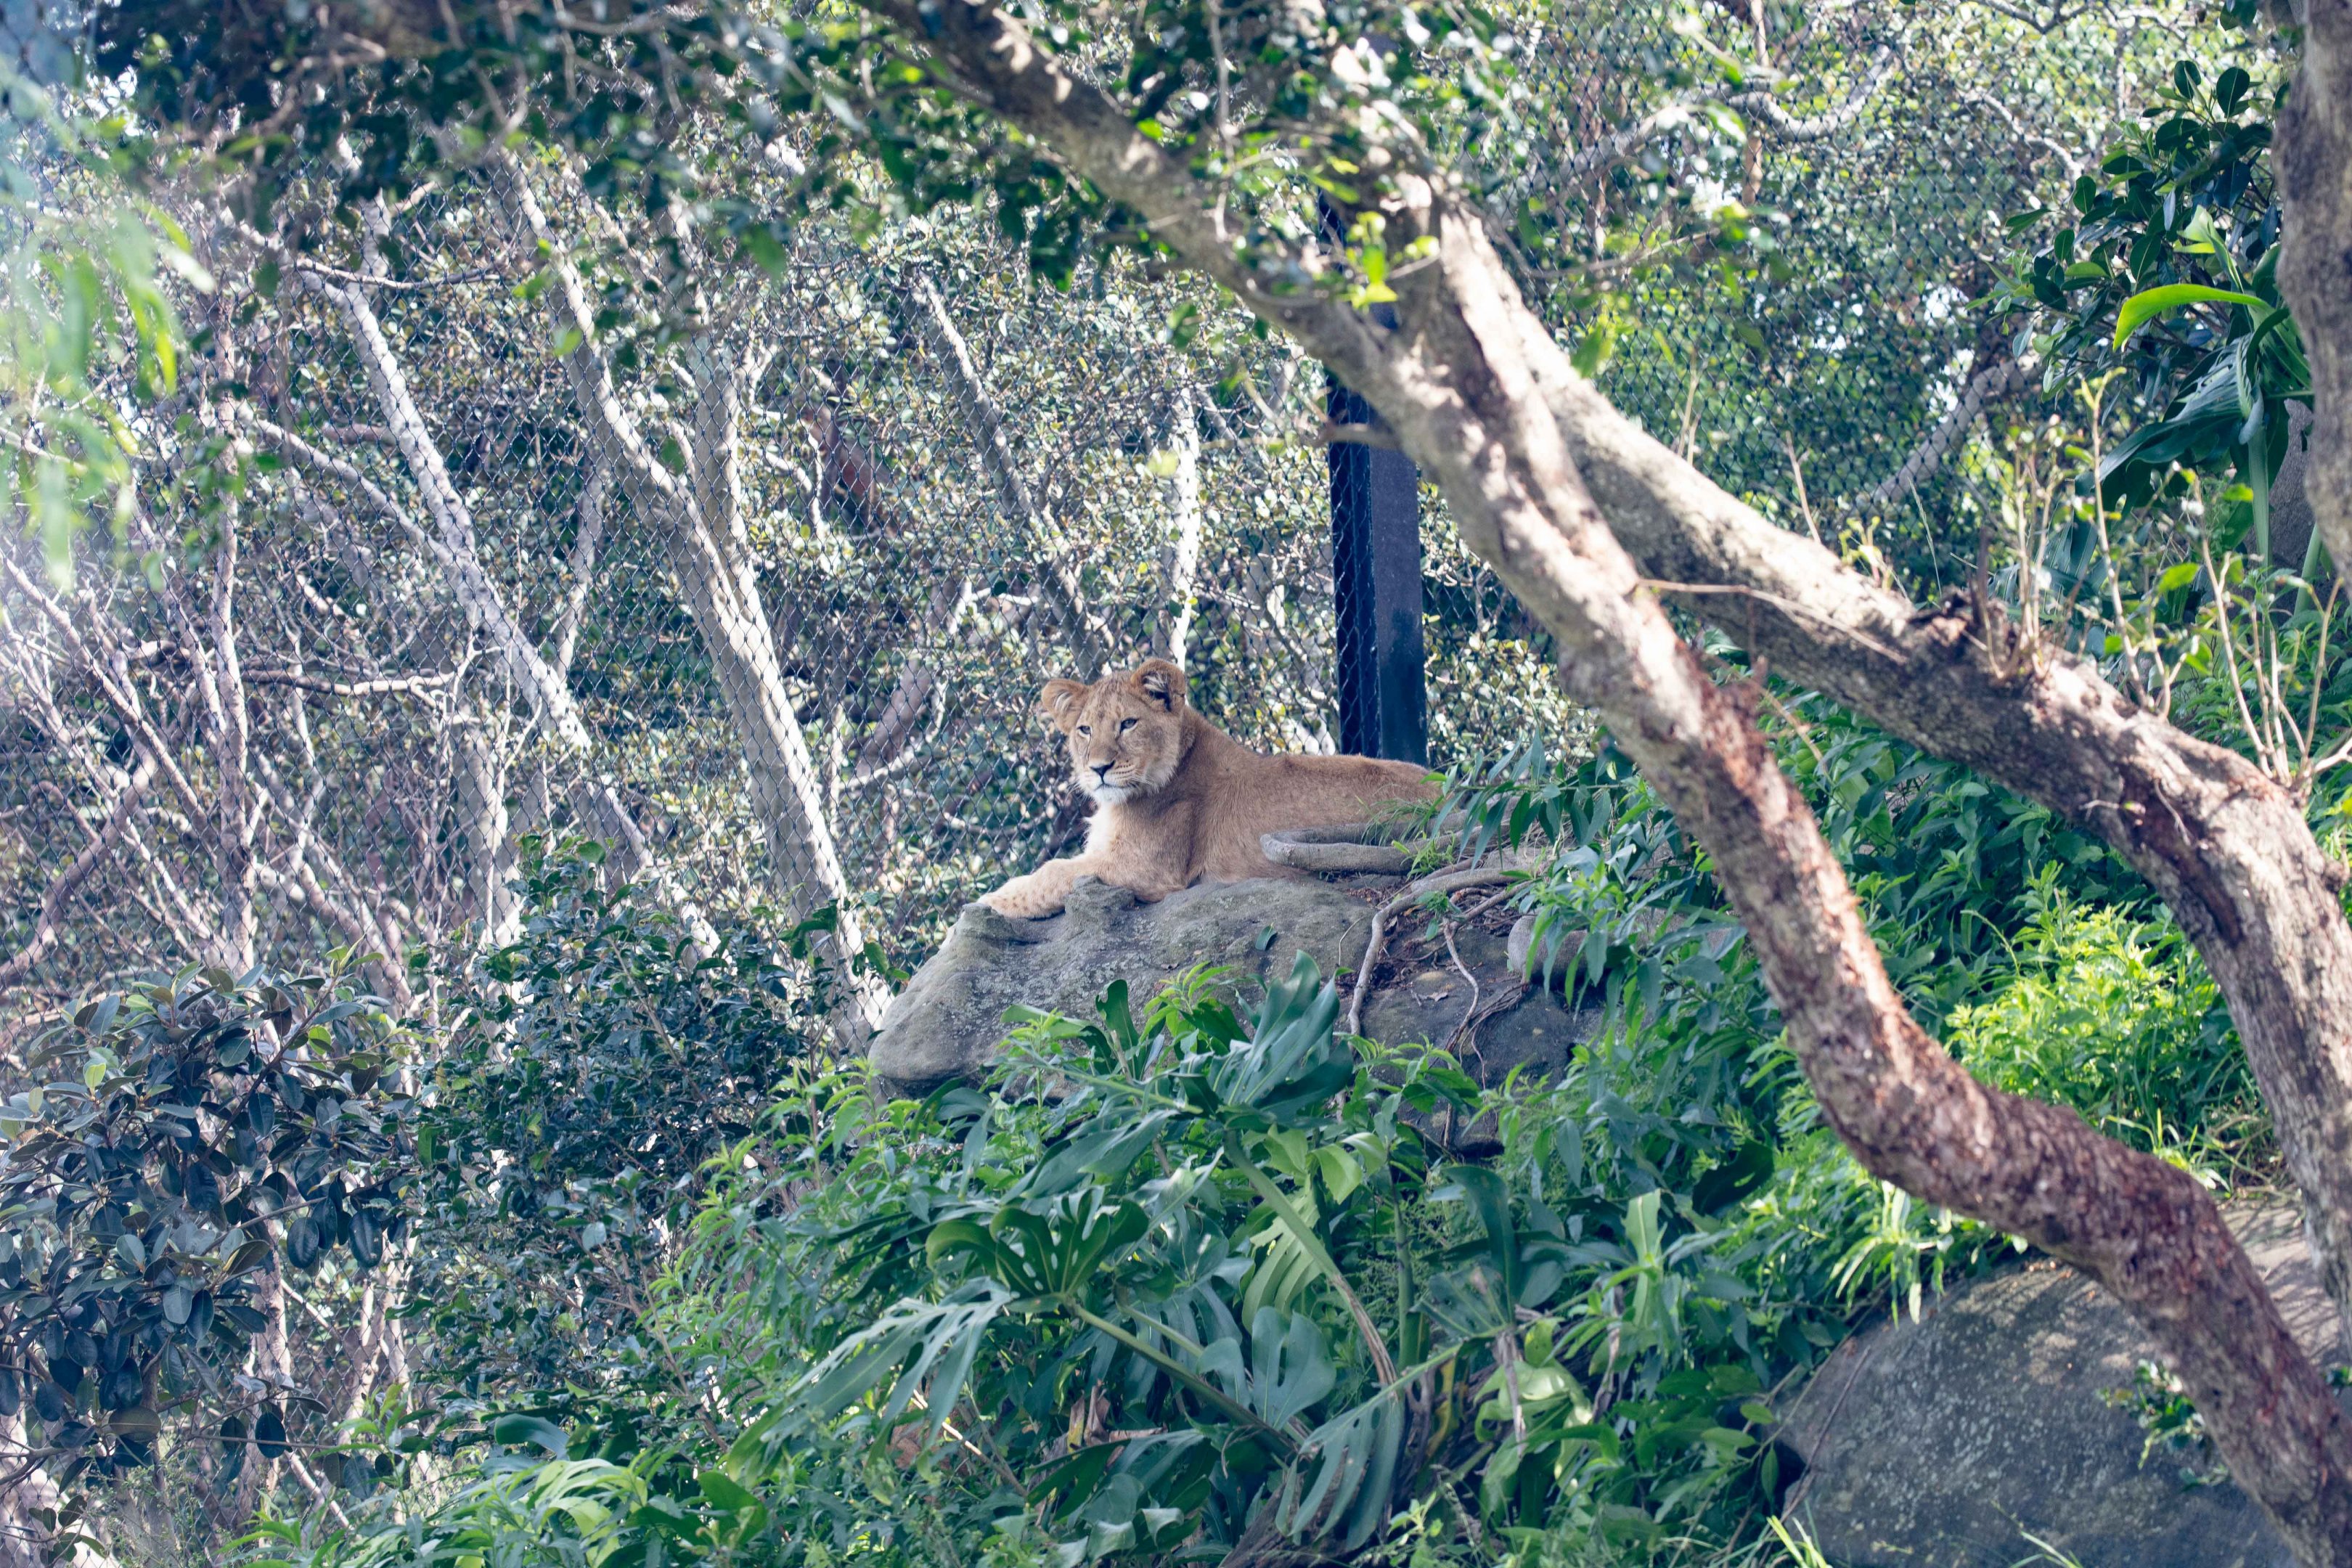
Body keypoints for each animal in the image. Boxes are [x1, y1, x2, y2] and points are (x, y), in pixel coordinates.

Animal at [979, 658, 1437, 919]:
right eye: (1084, 730)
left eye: (1128, 724)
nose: (1099, 769)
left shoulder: (1145, 870)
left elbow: (1052, 873)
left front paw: (988, 903)